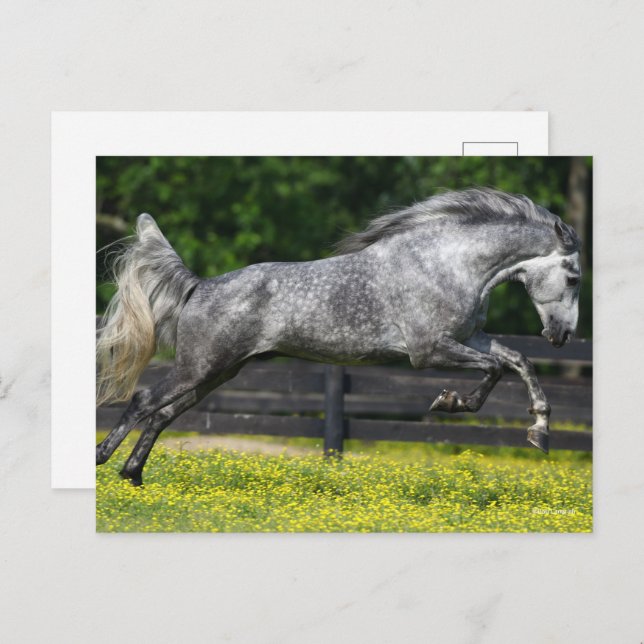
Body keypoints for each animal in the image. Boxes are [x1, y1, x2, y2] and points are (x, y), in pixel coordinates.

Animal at [96, 188, 581, 485]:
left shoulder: (471, 337)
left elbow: (517, 361)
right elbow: (497, 367)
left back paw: (133, 474)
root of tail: (200, 286)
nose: (560, 336)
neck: (446, 263)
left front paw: (539, 432)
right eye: (574, 277)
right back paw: (103, 461)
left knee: (161, 413)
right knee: (143, 401)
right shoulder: (428, 351)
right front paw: (450, 402)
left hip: (217, 373)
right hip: (199, 366)